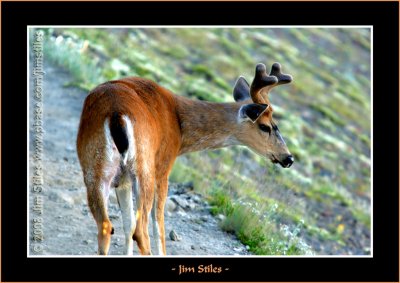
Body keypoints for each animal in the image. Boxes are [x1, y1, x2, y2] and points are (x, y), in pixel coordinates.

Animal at [76, 62, 294, 258]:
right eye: (265, 126)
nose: (288, 158)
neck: (179, 127)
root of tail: (116, 115)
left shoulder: (122, 181)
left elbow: (127, 223)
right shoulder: (163, 167)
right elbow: (158, 227)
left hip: (95, 168)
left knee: (106, 225)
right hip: (144, 170)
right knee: (142, 230)